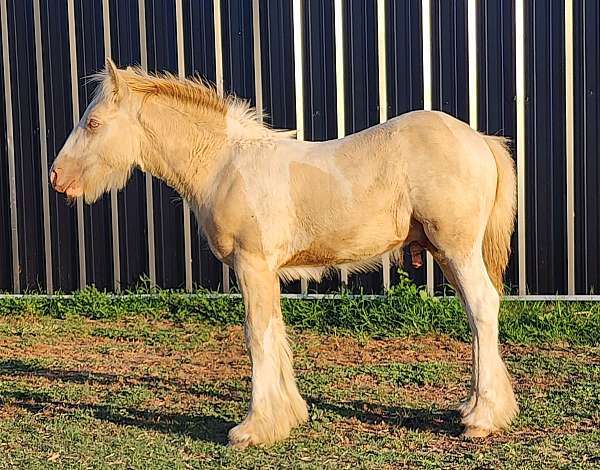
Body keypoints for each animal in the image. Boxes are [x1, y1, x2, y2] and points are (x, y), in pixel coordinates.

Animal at [50, 58, 516, 448]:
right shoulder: (266, 271)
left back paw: (483, 419)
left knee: (482, 306)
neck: (225, 165)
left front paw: (253, 428)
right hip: (447, 253)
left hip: (457, 249)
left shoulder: (252, 265)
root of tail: (479, 140)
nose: (56, 176)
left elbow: (256, 335)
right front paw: (288, 415)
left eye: (93, 123)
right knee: (476, 313)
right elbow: (275, 331)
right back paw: (471, 407)